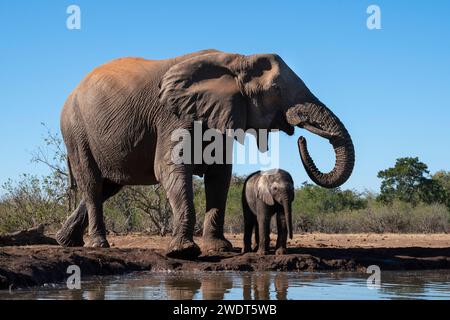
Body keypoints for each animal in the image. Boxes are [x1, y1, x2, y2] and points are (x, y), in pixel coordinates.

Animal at [54, 48, 354, 258]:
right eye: (276, 89)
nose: (302, 136)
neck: (236, 60)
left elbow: (220, 173)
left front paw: (219, 249)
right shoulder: (173, 115)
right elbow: (171, 168)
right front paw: (184, 251)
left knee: (109, 186)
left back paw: (65, 241)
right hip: (75, 129)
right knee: (92, 183)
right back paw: (97, 245)